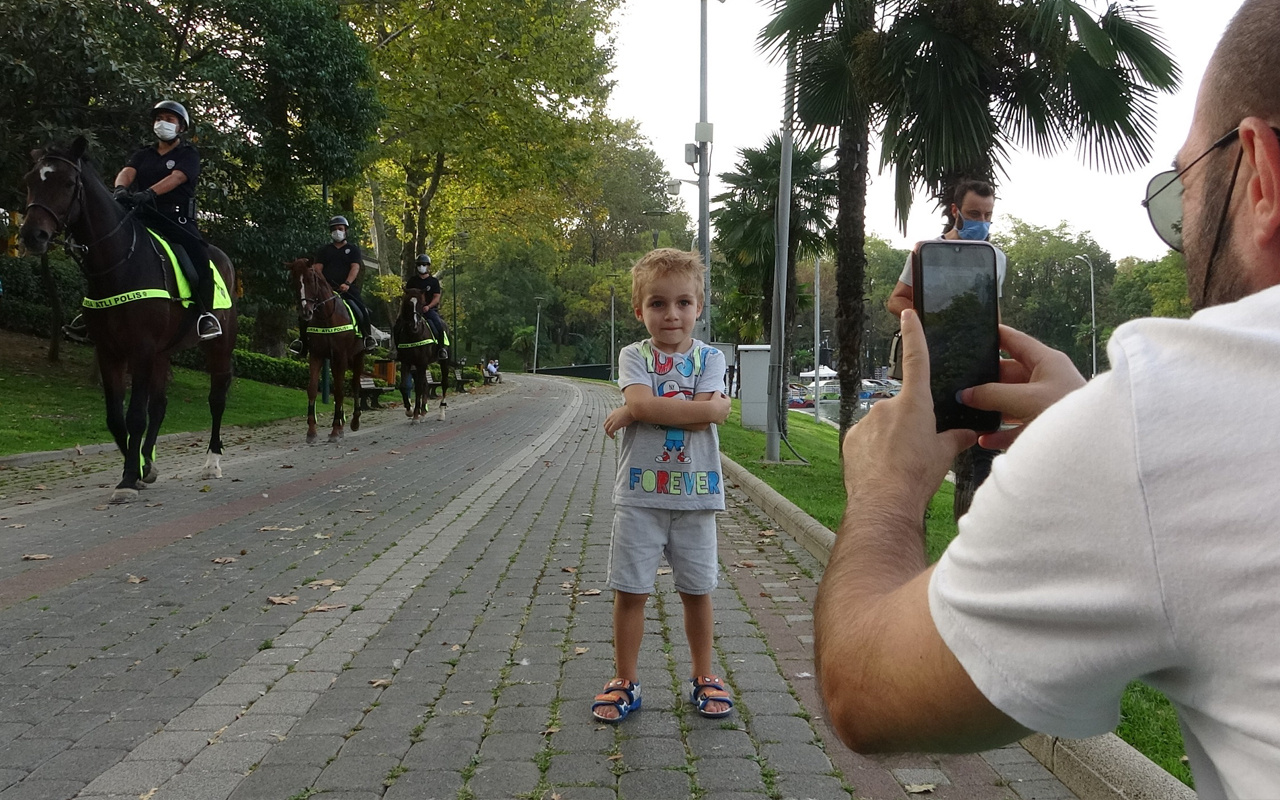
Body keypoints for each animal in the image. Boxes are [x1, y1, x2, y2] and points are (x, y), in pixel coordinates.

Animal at [18, 135, 236, 501]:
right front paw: (140, 468)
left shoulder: (141, 349)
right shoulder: (110, 352)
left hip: (218, 346)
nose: (33, 236)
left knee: (216, 399)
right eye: (31, 180)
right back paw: (150, 460)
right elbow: (115, 418)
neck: (119, 262)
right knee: (159, 405)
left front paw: (129, 478)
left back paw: (213, 461)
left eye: (68, 183)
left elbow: (135, 416)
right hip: (164, 353)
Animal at [286, 256, 366, 442]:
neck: (326, 316)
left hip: (357, 357)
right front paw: (311, 432)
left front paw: (336, 430)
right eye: (294, 281)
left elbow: (339, 391)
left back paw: (354, 421)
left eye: (310, 279)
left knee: (355, 384)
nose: (305, 313)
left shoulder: (341, 356)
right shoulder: (316, 355)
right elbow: (312, 388)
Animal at [391, 288, 453, 424]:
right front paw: (409, 410)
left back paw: (441, 413)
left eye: (421, 304)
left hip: (443, 362)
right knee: (426, 384)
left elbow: (419, 387)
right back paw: (423, 411)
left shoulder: (421, 362)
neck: (414, 336)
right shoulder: (406, 362)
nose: (414, 325)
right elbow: (404, 386)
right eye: (409, 304)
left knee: (444, 383)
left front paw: (415, 415)